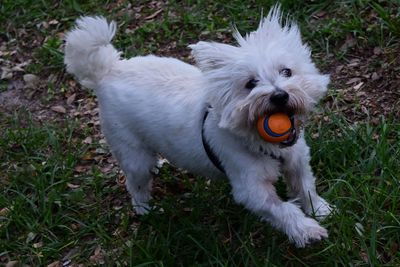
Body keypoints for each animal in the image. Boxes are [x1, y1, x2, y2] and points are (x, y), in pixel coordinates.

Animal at [65, 5, 332, 249]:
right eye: (250, 83)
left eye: (286, 71)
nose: (279, 96)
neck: (261, 141)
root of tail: (108, 71)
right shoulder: (251, 189)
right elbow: (283, 209)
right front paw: (307, 230)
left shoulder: (297, 159)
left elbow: (305, 186)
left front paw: (320, 209)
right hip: (132, 155)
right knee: (135, 183)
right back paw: (145, 210)